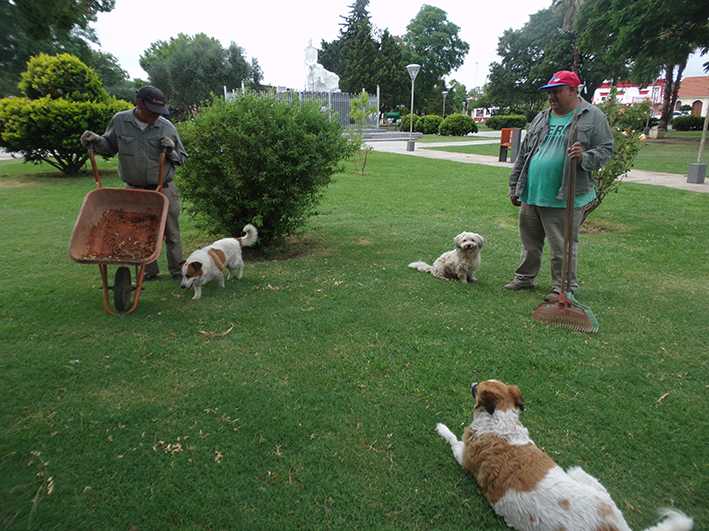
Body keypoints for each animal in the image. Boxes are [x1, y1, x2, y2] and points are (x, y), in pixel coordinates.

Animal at [434, 380, 696, 531]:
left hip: (578, 472)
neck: (501, 422)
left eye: (478, 387)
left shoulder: (465, 457)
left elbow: (452, 439)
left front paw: (442, 428)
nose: (473, 381)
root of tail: (615, 526)